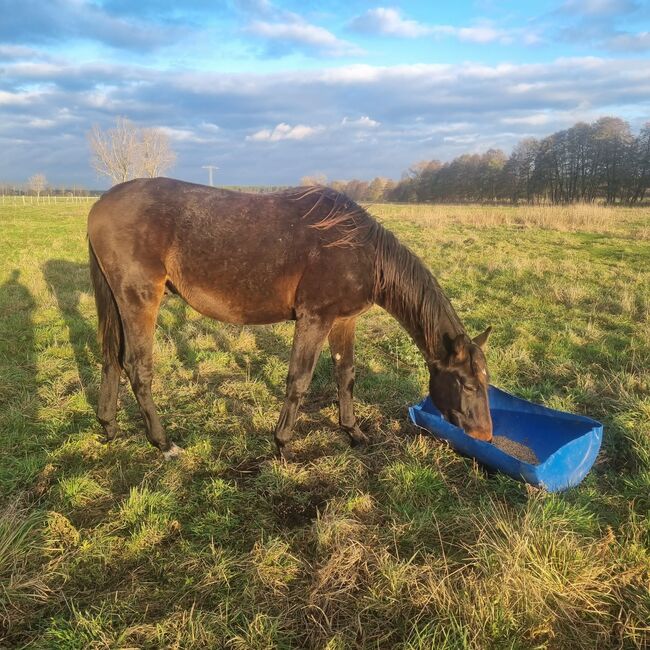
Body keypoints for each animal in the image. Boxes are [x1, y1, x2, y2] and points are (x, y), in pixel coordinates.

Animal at [87, 177, 492, 458]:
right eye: (468, 385)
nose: (485, 435)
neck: (359, 249)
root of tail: (99, 204)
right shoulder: (314, 318)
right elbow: (299, 380)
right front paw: (283, 443)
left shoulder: (343, 321)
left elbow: (346, 376)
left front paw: (353, 432)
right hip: (140, 300)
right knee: (136, 367)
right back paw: (163, 443)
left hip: (118, 301)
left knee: (111, 359)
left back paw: (108, 427)